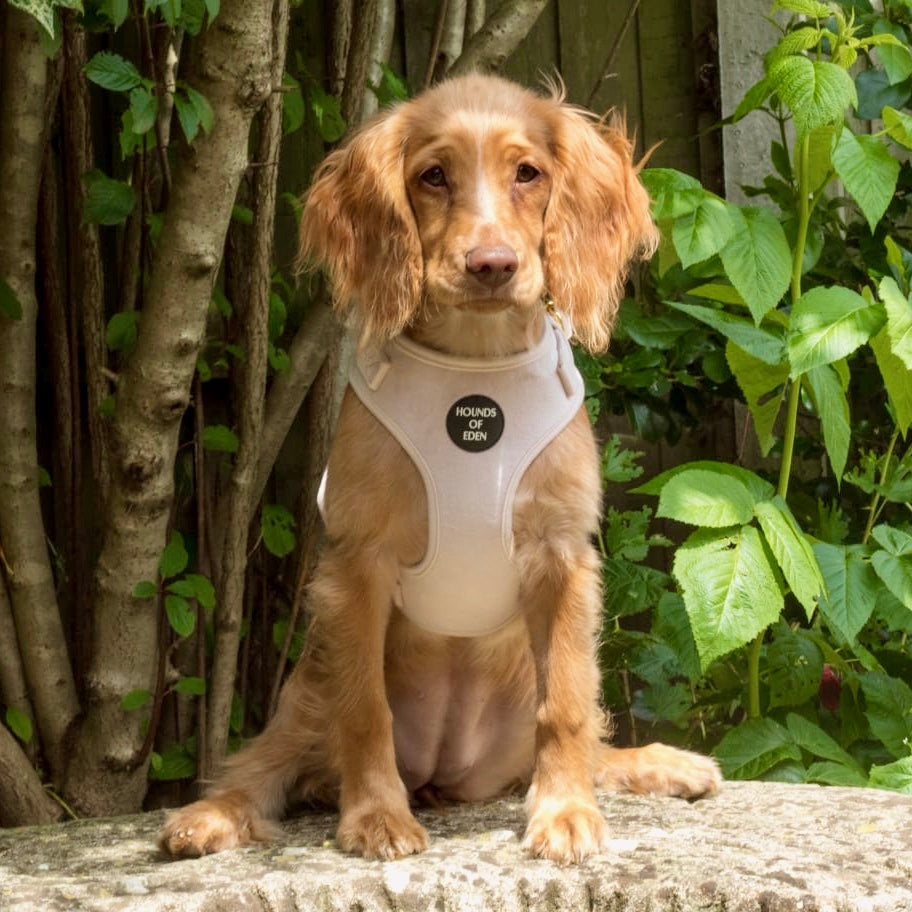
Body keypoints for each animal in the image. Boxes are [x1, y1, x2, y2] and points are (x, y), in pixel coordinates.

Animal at [160, 73, 724, 864]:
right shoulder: (357, 563)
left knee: (584, 735)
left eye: (529, 173)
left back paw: (659, 765)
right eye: (433, 176)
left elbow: (568, 706)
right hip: (306, 692)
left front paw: (565, 811)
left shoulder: (563, 557)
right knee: (266, 764)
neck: (475, 364)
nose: (491, 266)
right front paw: (374, 816)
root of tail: (445, 776)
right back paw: (211, 816)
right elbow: (366, 711)